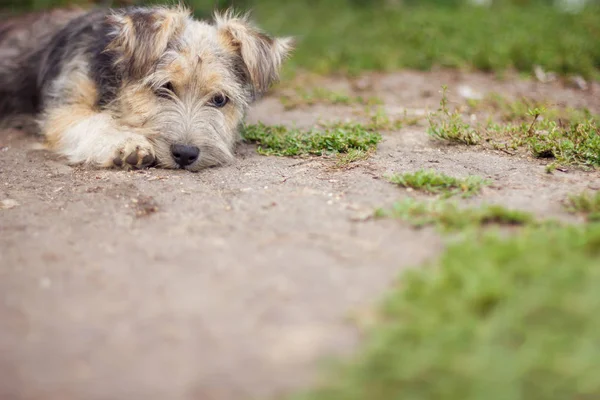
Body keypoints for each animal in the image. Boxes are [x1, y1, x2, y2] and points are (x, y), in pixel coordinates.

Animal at [0, 5, 292, 170]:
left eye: (219, 100)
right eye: (165, 87)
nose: (185, 154)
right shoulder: (63, 109)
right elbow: (95, 121)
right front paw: (125, 143)